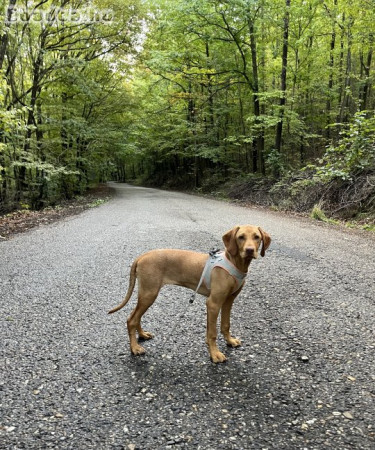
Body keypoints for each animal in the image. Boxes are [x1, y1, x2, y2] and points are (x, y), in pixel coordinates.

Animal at [107, 224, 272, 362]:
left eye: (257, 237)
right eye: (241, 237)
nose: (250, 250)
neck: (233, 262)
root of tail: (142, 256)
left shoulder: (228, 300)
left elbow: (225, 324)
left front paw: (229, 341)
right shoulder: (213, 303)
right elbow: (212, 332)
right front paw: (215, 354)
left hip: (147, 294)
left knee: (136, 317)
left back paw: (142, 335)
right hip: (149, 293)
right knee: (131, 319)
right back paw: (135, 348)